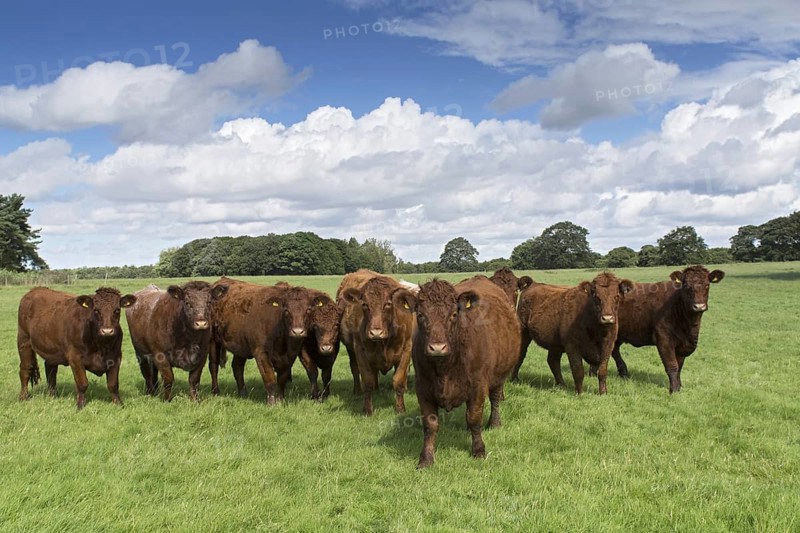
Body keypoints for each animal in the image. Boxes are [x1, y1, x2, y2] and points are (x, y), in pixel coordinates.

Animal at [337, 269, 414, 415]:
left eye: (388, 303)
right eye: (364, 304)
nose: (375, 332)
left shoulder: (406, 349)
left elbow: (398, 380)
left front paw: (400, 408)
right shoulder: (360, 350)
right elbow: (367, 381)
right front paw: (367, 410)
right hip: (351, 350)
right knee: (355, 369)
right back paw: (358, 391)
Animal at [393, 276, 521, 468]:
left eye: (454, 315)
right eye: (421, 315)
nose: (437, 347)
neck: (445, 368)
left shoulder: (478, 386)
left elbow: (475, 418)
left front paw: (478, 450)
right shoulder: (423, 389)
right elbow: (430, 424)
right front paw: (426, 458)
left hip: (500, 374)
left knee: (495, 398)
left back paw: (494, 423)